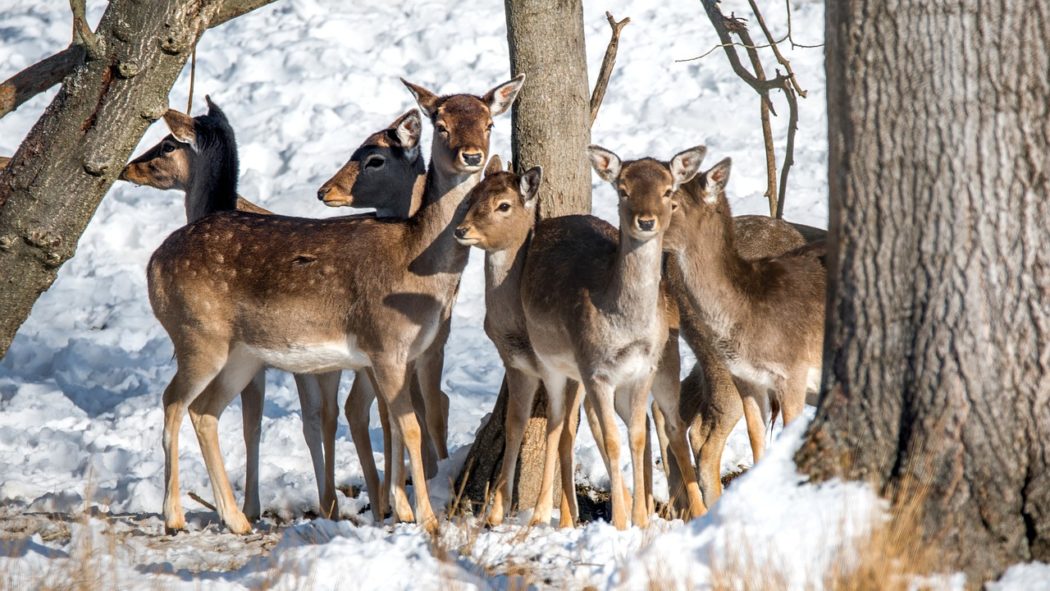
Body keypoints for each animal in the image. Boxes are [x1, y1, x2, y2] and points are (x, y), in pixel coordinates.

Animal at [148, 74, 524, 534]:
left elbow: (398, 423)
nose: (472, 155)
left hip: (241, 355)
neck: (415, 260)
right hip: (197, 333)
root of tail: (152, 264)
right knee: (172, 401)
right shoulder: (384, 345)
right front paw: (426, 519)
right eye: (442, 124)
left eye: (489, 123)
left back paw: (236, 518)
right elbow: (408, 426)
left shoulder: (407, 353)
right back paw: (175, 516)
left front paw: (400, 510)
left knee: (205, 411)